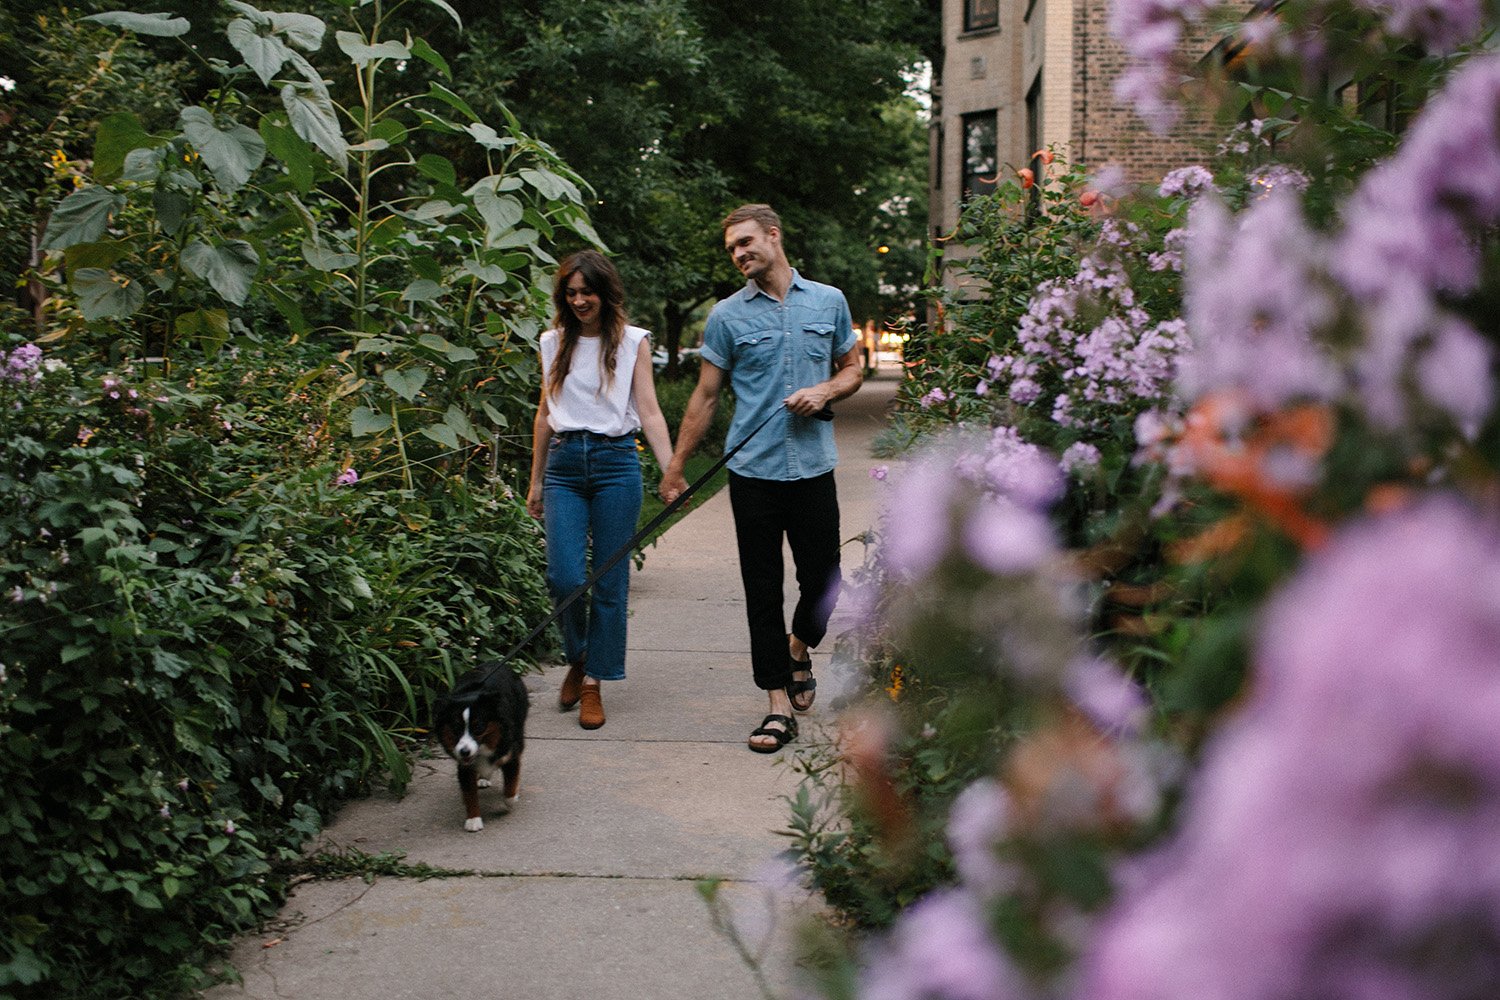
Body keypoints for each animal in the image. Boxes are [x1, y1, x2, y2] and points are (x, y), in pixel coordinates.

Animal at [432, 665, 531, 827]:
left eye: (478, 727)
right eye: (455, 728)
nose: (464, 751)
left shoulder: (510, 754)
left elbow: (510, 782)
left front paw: (510, 800)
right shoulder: (464, 766)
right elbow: (469, 793)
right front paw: (473, 820)